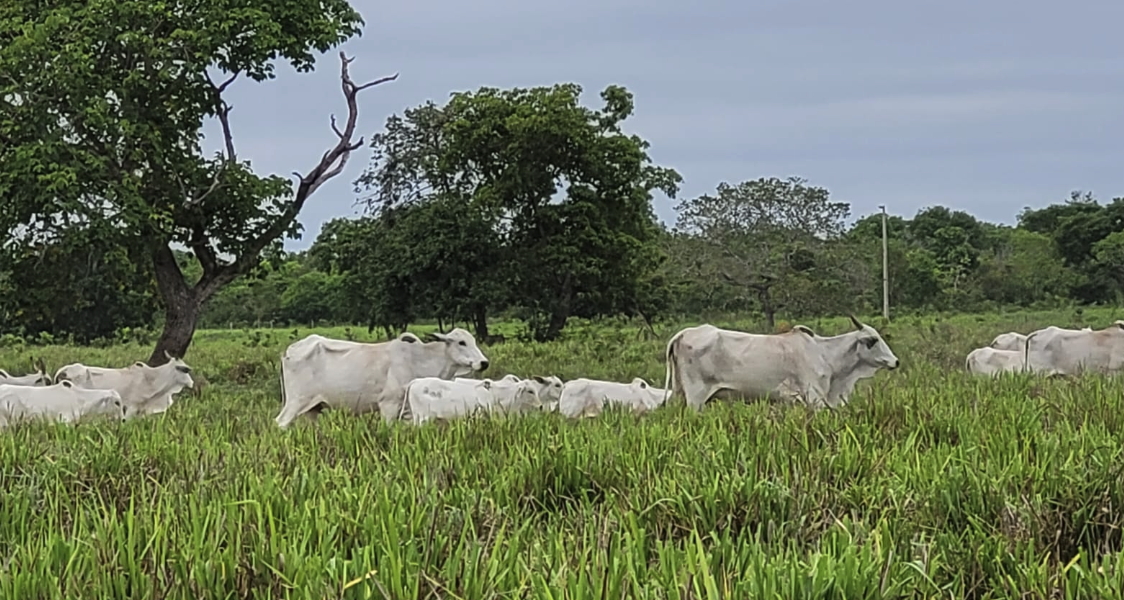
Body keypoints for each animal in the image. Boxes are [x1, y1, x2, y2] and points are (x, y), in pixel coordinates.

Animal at [274, 330, 490, 429]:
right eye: (461, 342)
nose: (484, 363)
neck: (420, 359)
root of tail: (289, 350)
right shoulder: (389, 404)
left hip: (313, 408)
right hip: (295, 402)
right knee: (280, 423)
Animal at [660, 316, 899, 411]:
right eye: (872, 340)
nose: (895, 362)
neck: (825, 354)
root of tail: (682, 334)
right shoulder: (814, 398)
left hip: (680, 394)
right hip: (696, 398)